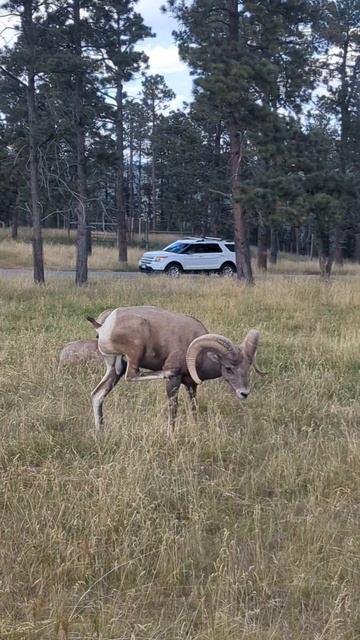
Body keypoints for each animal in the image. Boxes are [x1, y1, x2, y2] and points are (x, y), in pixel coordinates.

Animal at [85, 304, 262, 436]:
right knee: (132, 375)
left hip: (115, 370)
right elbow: (173, 408)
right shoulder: (175, 383)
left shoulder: (191, 385)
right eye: (229, 368)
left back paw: (101, 431)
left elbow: (194, 408)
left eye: (247, 367)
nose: (244, 393)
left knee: (97, 395)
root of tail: (104, 327)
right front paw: (171, 435)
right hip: (132, 358)